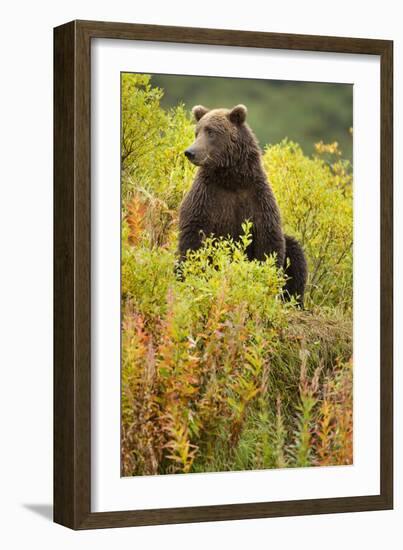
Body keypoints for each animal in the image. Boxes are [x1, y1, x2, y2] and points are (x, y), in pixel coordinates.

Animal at [178, 103, 308, 306]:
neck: (231, 178)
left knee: (295, 253)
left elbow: (268, 242)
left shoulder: (257, 197)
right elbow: (194, 234)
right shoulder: (206, 196)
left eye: (211, 132)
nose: (190, 152)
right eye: (196, 132)